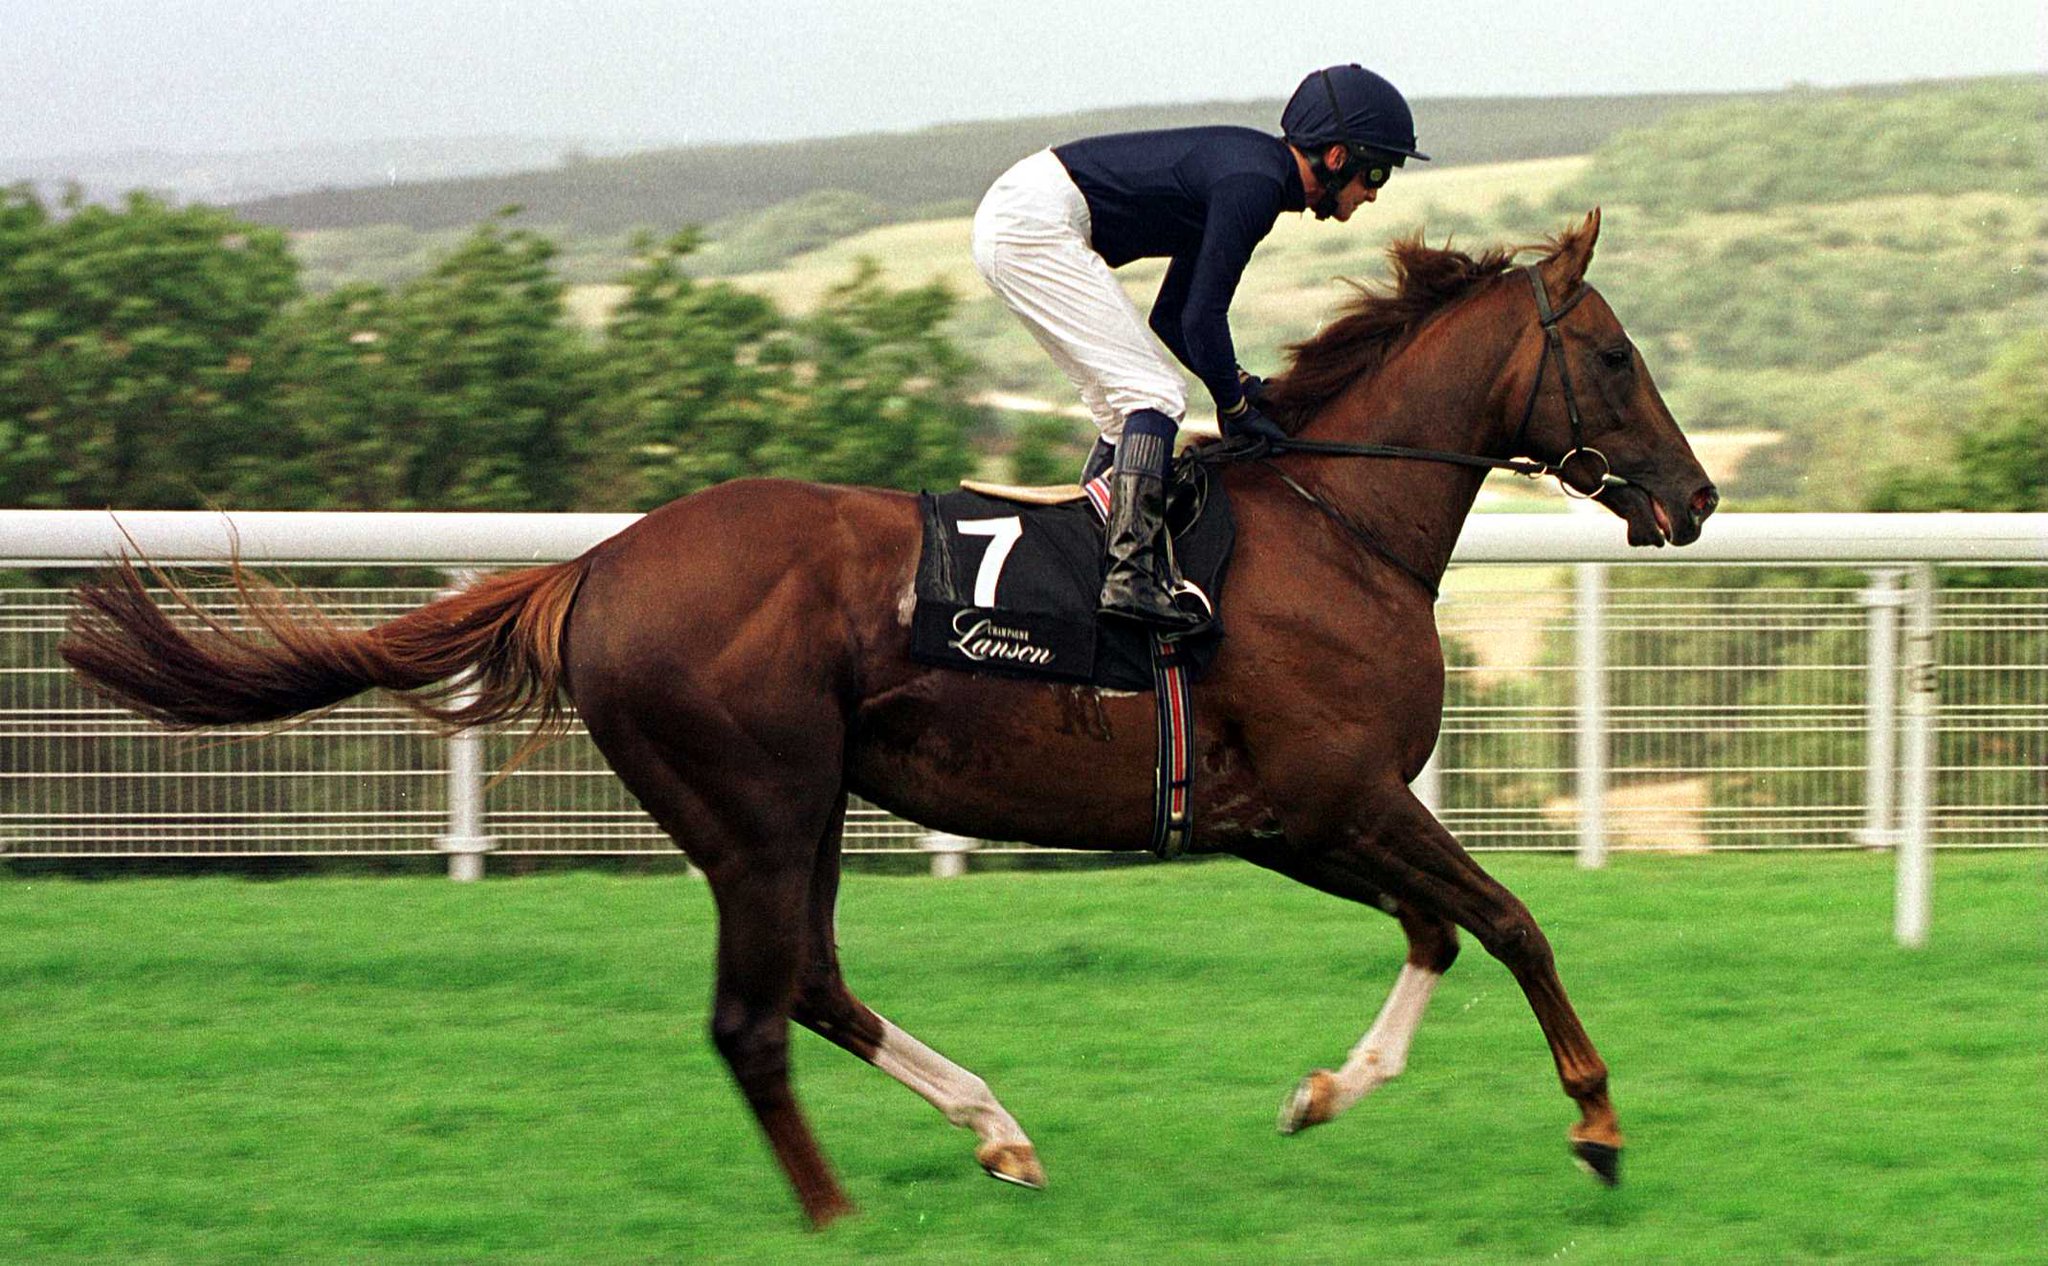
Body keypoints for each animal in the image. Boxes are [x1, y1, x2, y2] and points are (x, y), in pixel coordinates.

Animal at [62, 210, 1717, 1228]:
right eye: (1616, 354)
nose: (1698, 497)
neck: (1338, 522)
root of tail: (595, 565)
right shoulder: (1341, 796)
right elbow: (1512, 922)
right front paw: (1596, 1123)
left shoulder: (1285, 817)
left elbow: (1441, 928)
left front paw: (1323, 1091)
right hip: (758, 803)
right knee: (752, 1012)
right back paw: (838, 1212)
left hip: (801, 805)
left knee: (808, 985)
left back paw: (994, 1130)